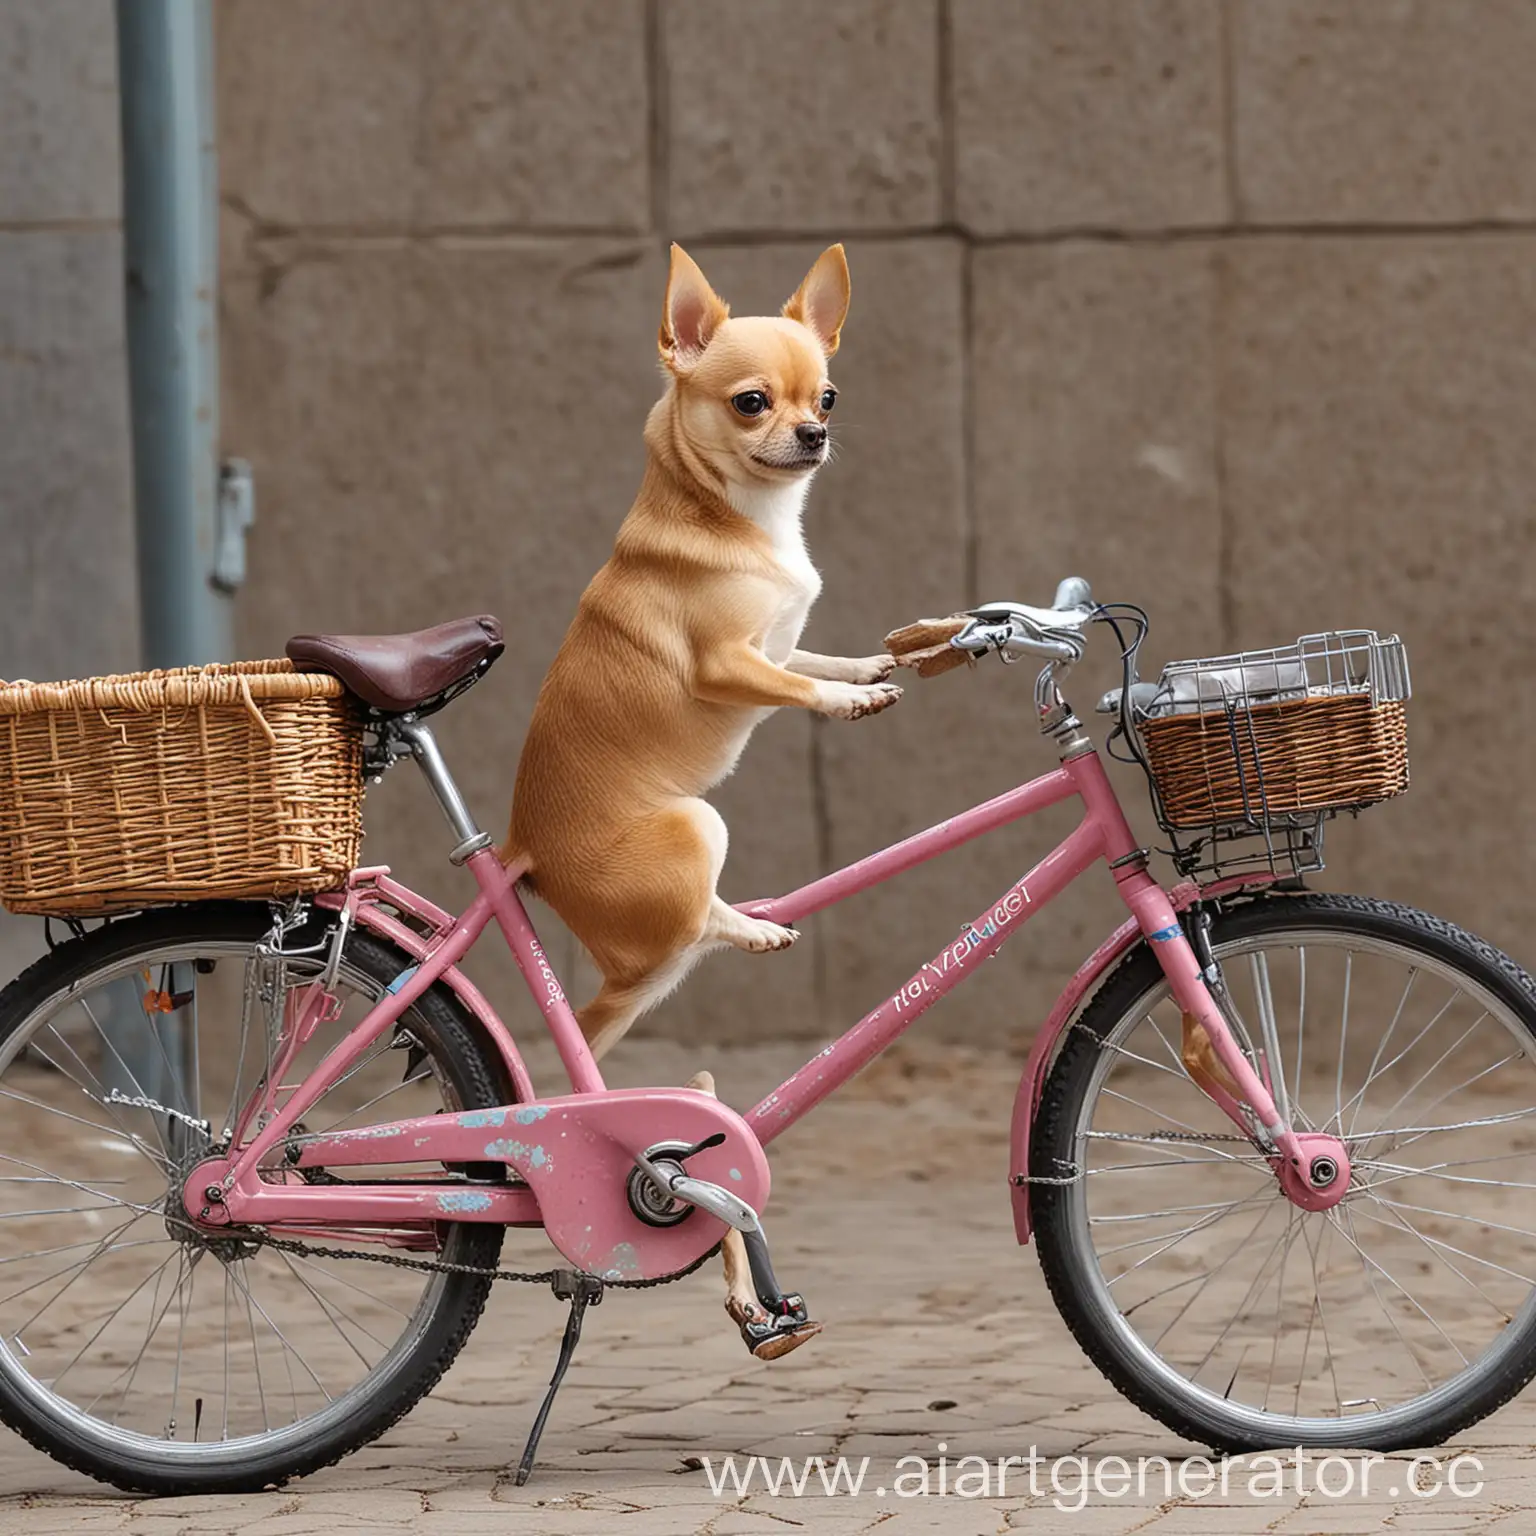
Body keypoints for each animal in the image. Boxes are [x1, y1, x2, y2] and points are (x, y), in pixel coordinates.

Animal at [506, 242, 897, 1357]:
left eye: (828, 395)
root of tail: (520, 854)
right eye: (751, 402)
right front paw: (851, 701)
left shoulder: (780, 641)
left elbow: (813, 652)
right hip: (693, 827)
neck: (743, 522)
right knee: (660, 953)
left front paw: (873, 666)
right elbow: (800, 688)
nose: (814, 432)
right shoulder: (731, 664)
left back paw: (755, 925)